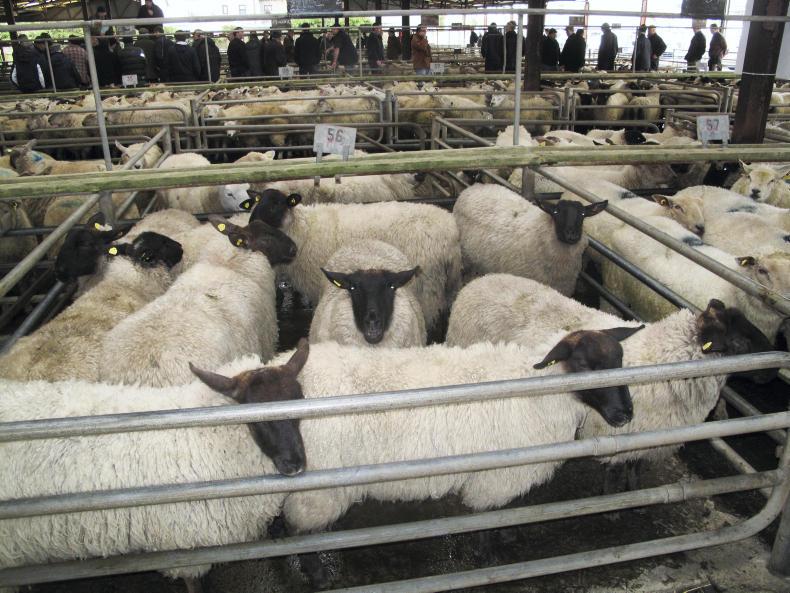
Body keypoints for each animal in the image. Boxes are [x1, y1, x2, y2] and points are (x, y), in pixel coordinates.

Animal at [0, 346, 309, 592]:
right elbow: (194, 584)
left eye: (299, 399)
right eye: (257, 419)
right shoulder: (184, 547)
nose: (295, 464)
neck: (206, 435)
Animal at [247, 189, 462, 331]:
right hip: (447, 285)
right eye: (256, 202)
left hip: (427, 288)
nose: (249, 225)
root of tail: (451, 234)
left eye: (276, 205)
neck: (303, 229)